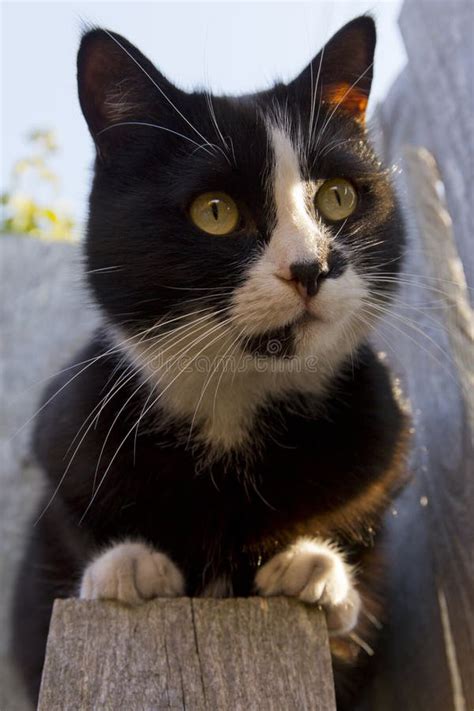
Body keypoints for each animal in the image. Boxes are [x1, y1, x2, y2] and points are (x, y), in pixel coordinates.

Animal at [12, 13, 410, 708]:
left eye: (338, 197)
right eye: (216, 212)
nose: (312, 267)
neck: (232, 411)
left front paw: (314, 567)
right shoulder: (64, 439)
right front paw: (127, 566)